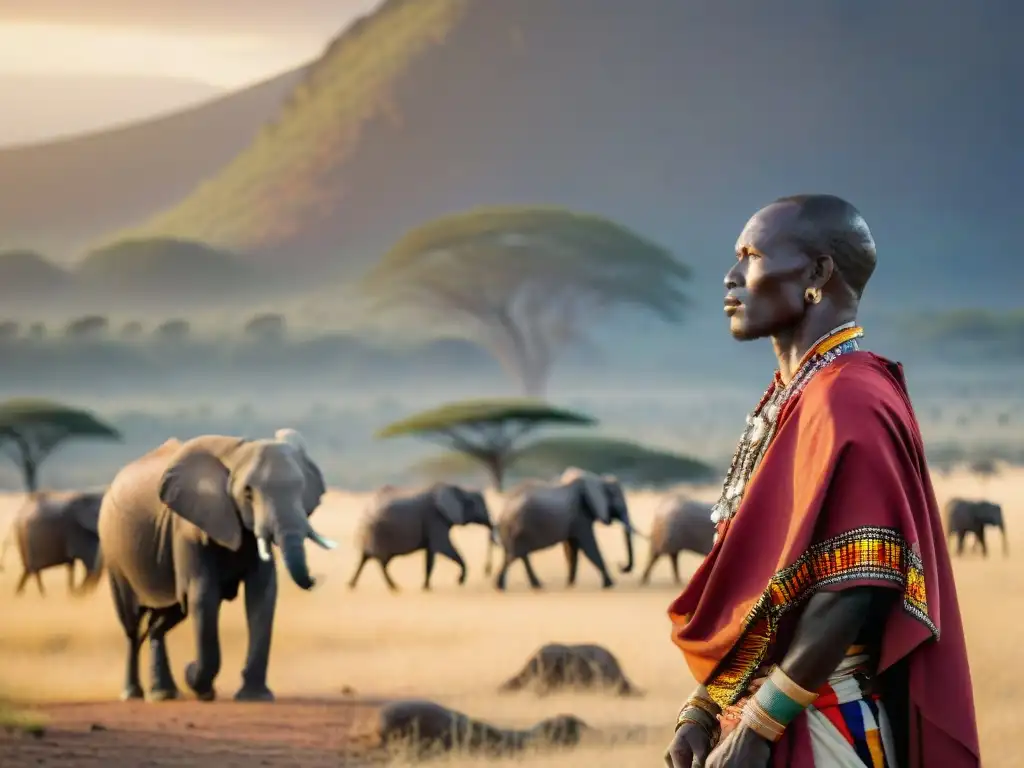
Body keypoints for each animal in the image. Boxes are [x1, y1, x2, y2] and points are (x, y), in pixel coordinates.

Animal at [96, 430, 331, 708]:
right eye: (248, 493)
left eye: (300, 488)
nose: (314, 580)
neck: (237, 453)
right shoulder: (187, 530)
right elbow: (203, 596)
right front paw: (199, 685)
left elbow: (262, 595)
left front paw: (254, 697)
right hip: (113, 552)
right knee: (132, 626)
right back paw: (133, 694)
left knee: (164, 618)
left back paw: (163, 694)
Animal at [350, 483, 493, 593]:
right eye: (474, 504)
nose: (487, 570)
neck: (460, 490)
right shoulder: (435, 518)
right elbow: (442, 547)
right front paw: (459, 581)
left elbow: (430, 555)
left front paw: (426, 588)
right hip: (378, 533)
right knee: (381, 561)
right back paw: (395, 588)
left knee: (365, 557)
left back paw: (351, 585)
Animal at [489, 466, 638, 593]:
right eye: (617, 501)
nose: (621, 566)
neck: (597, 480)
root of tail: (502, 514)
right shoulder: (580, 517)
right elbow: (589, 547)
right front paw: (610, 585)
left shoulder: (575, 519)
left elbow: (572, 549)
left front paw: (570, 585)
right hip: (517, 529)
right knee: (514, 555)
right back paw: (505, 587)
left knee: (517, 555)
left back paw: (526, 586)